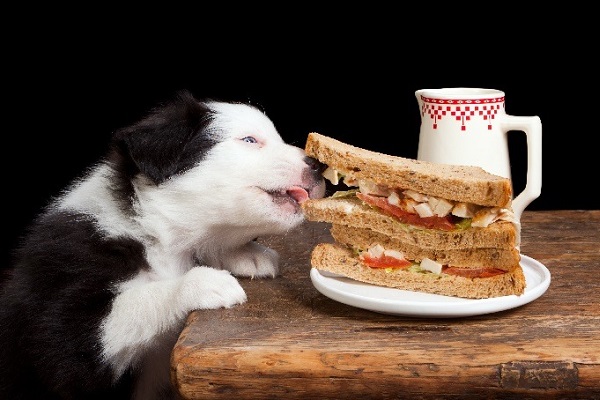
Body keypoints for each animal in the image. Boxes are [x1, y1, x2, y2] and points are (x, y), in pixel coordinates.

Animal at [0, 91, 326, 400]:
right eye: (249, 140)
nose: (319, 164)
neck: (158, 234)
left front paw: (245, 254)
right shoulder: (62, 317)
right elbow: (136, 302)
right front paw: (202, 283)